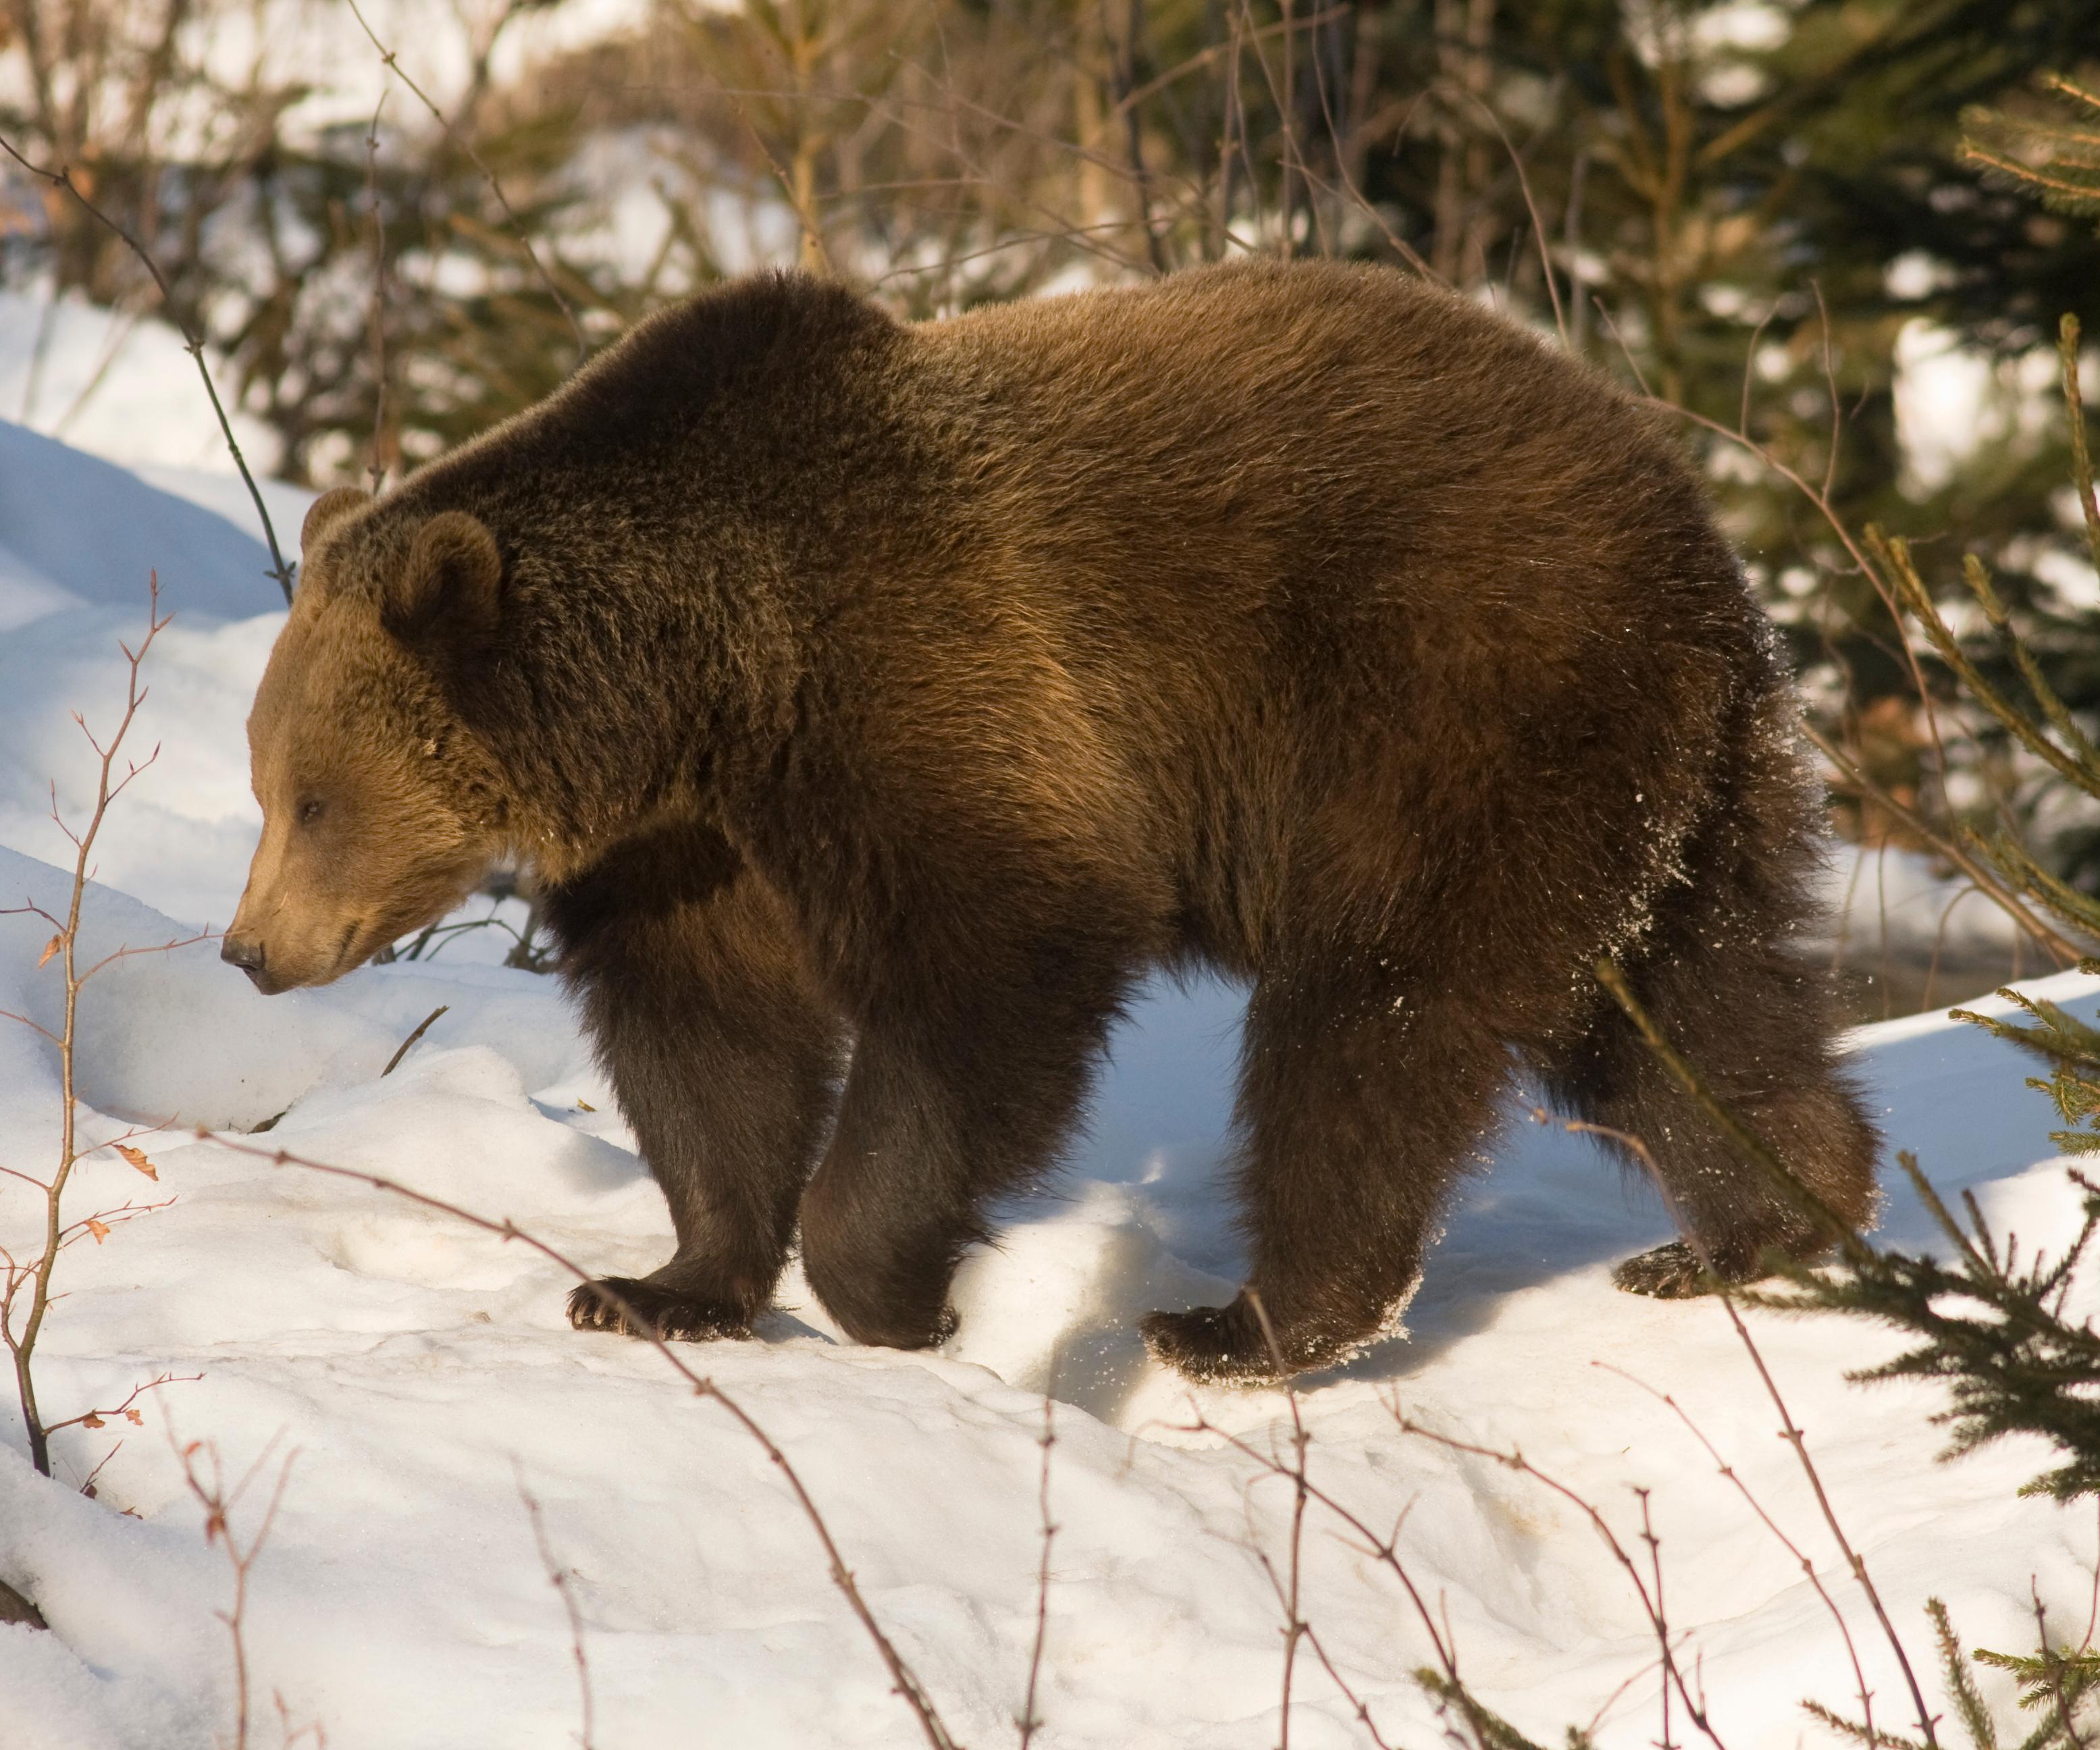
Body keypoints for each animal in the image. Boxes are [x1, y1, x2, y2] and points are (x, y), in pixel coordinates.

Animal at [221, 259, 1881, 1378]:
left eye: (314, 797)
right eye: (267, 782)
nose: (247, 949)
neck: (705, 683)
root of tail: (1699, 537)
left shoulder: (925, 680)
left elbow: (994, 961)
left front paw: (901, 1295)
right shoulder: (691, 847)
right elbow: (712, 1042)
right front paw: (658, 1285)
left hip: (1448, 717)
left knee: (1373, 1022)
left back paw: (1254, 1320)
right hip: (1664, 786)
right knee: (1683, 1004)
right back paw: (1757, 1225)